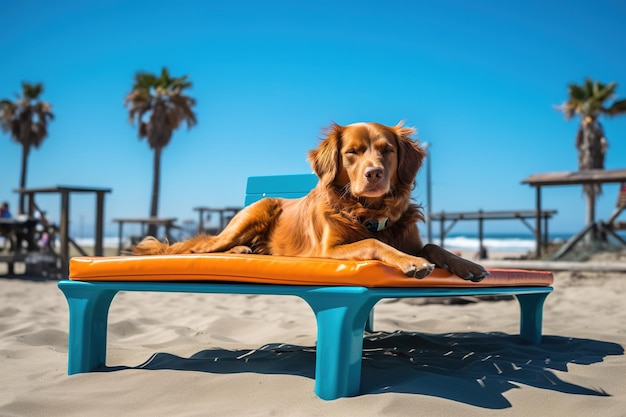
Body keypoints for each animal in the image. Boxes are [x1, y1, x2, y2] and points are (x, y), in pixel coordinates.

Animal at [135, 122, 488, 282]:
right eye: (352, 152)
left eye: (387, 150)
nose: (374, 173)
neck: (369, 210)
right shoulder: (328, 251)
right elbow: (374, 243)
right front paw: (411, 262)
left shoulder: (409, 236)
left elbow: (433, 245)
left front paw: (467, 264)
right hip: (252, 215)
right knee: (199, 249)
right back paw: (238, 250)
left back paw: (247, 251)